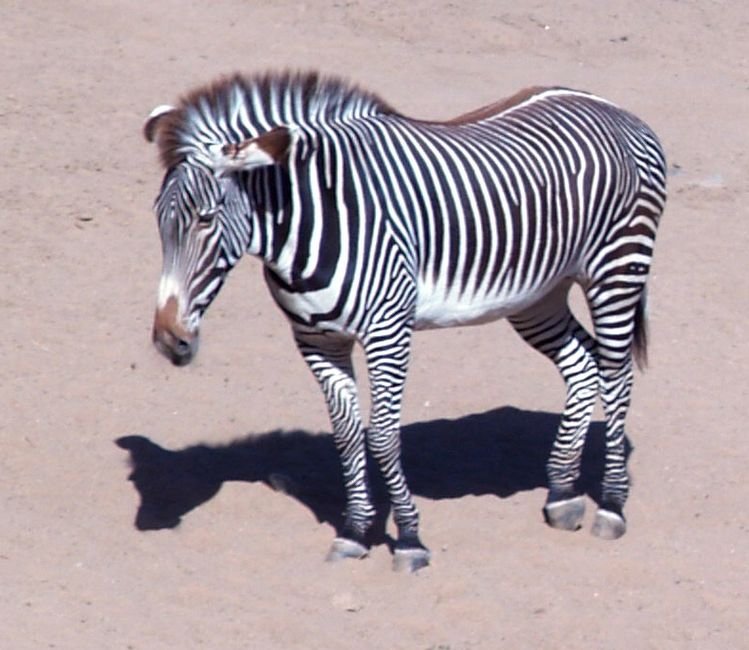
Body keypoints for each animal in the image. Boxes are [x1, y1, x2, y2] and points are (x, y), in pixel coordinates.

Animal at [144, 71, 667, 572]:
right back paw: (562, 495)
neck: (309, 223)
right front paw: (355, 534)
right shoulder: (317, 340)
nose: (169, 341)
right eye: (158, 220)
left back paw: (611, 507)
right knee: (583, 365)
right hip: (539, 294)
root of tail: (610, 106)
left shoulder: (387, 333)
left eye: (207, 219)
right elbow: (348, 436)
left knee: (617, 374)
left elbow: (383, 437)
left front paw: (410, 540)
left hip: (617, 268)